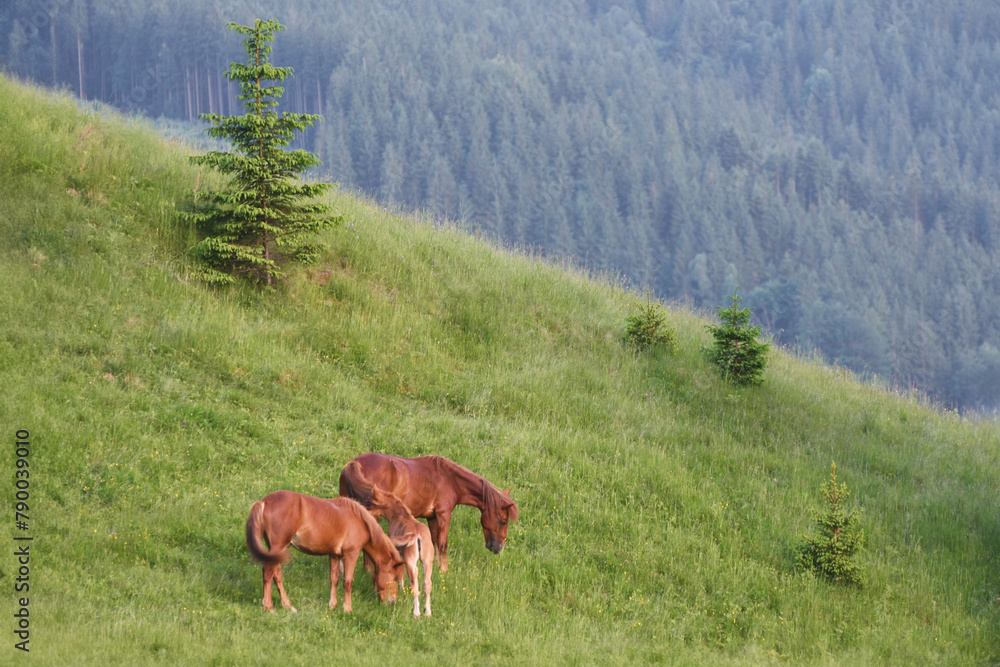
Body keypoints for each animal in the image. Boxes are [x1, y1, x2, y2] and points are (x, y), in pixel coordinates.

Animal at [245, 490, 405, 613]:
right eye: (395, 579)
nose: (392, 603)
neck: (360, 520)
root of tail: (264, 502)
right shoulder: (351, 554)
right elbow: (348, 582)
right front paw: (347, 609)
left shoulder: (334, 555)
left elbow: (334, 579)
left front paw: (333, 606)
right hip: (278, 547)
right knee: (268, 572)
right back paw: (269, 607)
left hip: (277, 550)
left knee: (277, 575)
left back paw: (288, 606)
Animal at [339, 453, 519, 572]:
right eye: (503, 521)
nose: (499, 547)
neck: (450, 479)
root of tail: (354, 464)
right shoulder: (443, 515)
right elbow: (443, 544)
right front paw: (445, 571)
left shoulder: (432, 518)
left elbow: (434, 544)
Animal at [368, 485, 435, 617]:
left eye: (371, 503)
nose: (366, 511)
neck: (401, 516)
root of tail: (417, 535)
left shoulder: (399, 552)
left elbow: (400, 570)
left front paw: (401, 588)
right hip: (428, 561)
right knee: (427, 584)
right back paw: (428, 612)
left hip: (410, 561)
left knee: (415, 586)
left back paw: (416, 613)